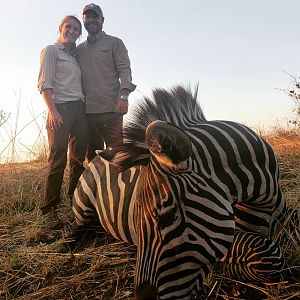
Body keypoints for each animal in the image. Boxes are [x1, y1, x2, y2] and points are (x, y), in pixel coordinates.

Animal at [68, 85, 286, 300]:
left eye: (167, 217)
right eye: (135, 218)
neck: (264, 200)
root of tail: (96, 158)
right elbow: (267, 254)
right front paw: (229, 273)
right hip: (83, 206)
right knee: (78, 227)